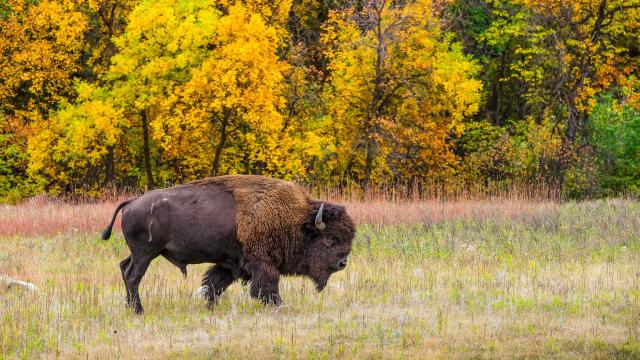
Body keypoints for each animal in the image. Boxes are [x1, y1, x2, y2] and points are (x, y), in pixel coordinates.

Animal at [102, 174, 358, 312]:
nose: (342, 263)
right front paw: (279, 305)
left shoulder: (230, 264)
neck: (296, 220)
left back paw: (130, 307)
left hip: (139, 253)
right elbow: (268, 286)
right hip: (145, 253)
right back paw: (138, 310)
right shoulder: (261, 263)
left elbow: (214, 284)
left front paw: (209, 307)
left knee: (124, 267)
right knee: (133, 276)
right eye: (330, 239)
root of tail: (132, 202)